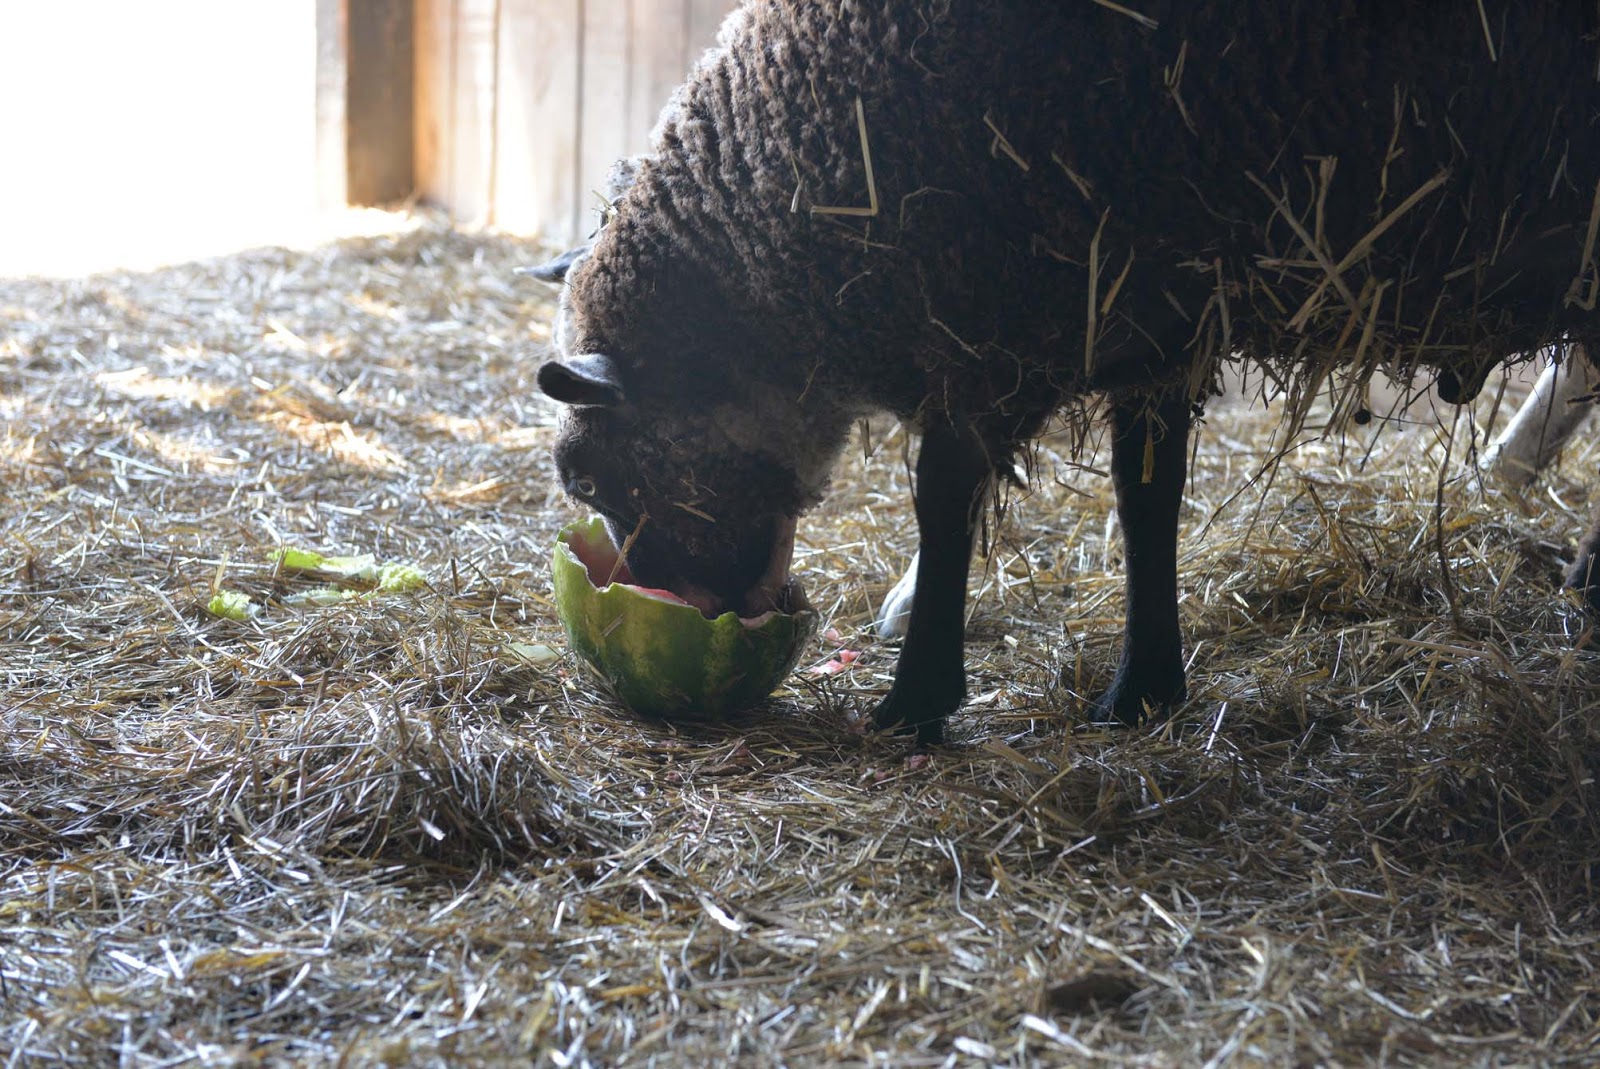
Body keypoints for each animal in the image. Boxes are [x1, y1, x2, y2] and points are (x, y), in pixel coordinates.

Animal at [534, 0, 1600, 745]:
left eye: (598, 478)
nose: (683, 602)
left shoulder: (1018, 308)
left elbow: (946, 497)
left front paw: (917, 699)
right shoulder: (1151, 308)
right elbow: (1146, 494)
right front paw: (1146, 690)